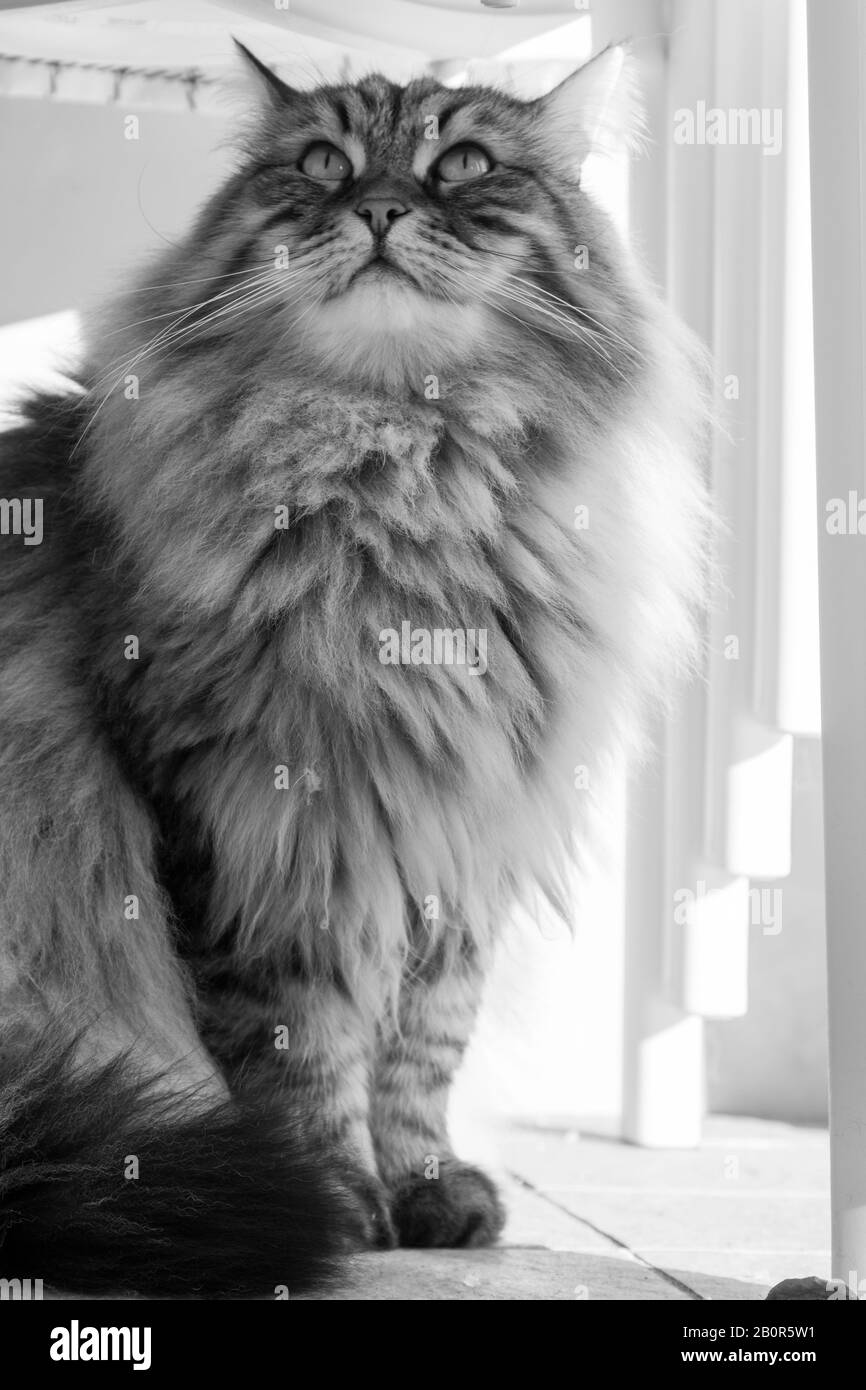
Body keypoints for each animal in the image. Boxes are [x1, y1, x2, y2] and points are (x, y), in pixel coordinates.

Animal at [0, 46, 711, 1301]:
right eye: (324, 163)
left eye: (463, 164)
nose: (377, 208)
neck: (403, 477)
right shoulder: (241, 816)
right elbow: (295, 1043)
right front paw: (334, 1196)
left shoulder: (462, 822)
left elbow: (425, 1041)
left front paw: (427, 1186)